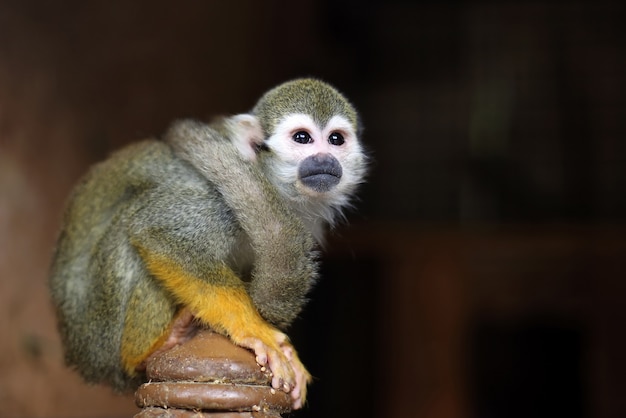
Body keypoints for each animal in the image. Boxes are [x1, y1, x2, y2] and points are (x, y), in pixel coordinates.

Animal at [51, 78, 368, 408]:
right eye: (302, 138)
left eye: (335, 139)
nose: (325, 159)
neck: (273, 186)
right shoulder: (216, 200)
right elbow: (157, 231)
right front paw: (253, 328)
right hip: (102, 331)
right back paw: (146, 352)